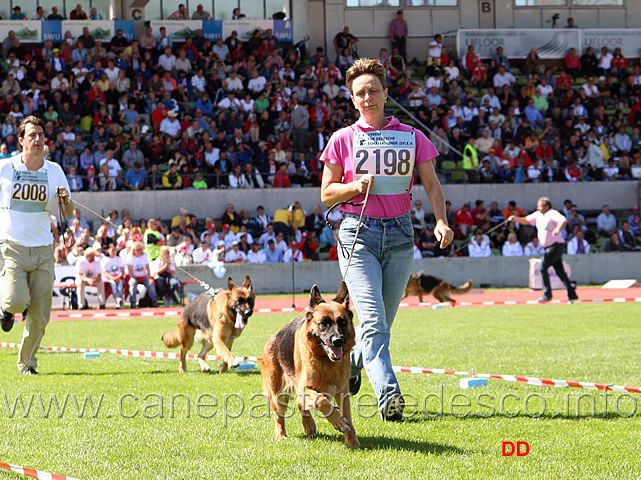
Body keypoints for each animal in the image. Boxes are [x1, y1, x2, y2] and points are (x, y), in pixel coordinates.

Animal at [262, 284, 360, 448]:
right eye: (323, 323)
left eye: (342, 322)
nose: (338, 341)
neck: (326, 361)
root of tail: (273, 338)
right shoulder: (305, 388)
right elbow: (321, 400)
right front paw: (339, 422)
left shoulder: (343, 393)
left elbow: (349, 419)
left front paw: (352, 441)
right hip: (278, 396)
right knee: (278, 415)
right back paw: (281, 435)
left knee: (300, 404)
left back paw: (309, 426)